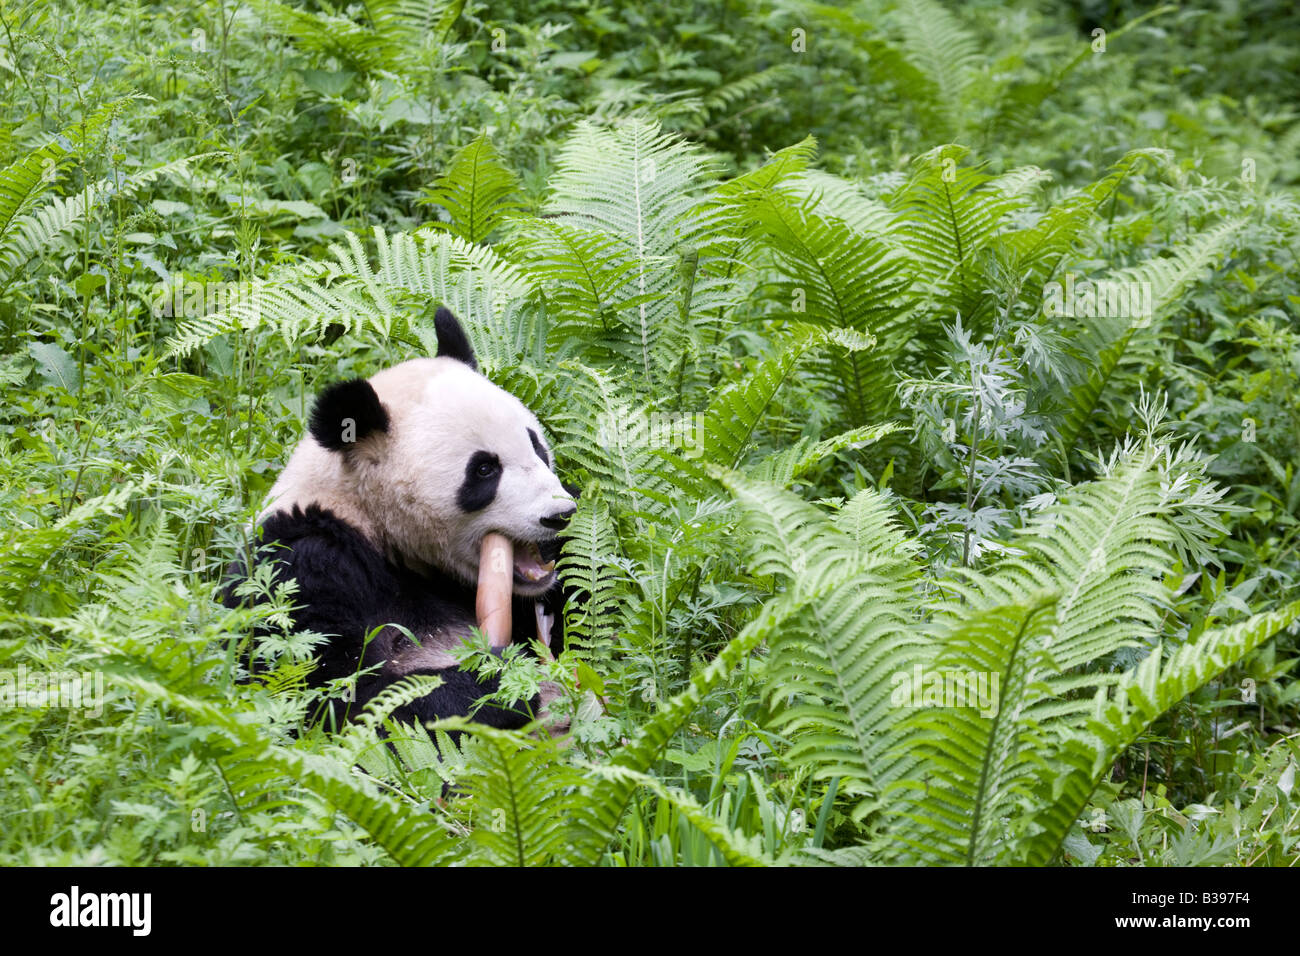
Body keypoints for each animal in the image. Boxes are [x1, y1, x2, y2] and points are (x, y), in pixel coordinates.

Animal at [227, 306, 574, 733]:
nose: (559, 515)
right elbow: (334, 700)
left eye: (537, 446)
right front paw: (500, 678)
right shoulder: (304, 564)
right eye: (484, 470)